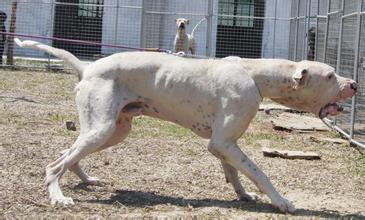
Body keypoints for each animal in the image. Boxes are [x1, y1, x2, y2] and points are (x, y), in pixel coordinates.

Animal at [15, 38, 356, 213]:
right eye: (329, 75)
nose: (353, 83)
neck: (255, 74)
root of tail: (87, 67)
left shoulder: (224, 145)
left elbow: (235, 173)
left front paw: (243, 195)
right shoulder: (224, 143)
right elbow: (260, 173)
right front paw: (281, 201)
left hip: (113, 130)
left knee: (67, 155)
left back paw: (85, 180)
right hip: (101, 130)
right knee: (54, 165)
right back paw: (58, 197)